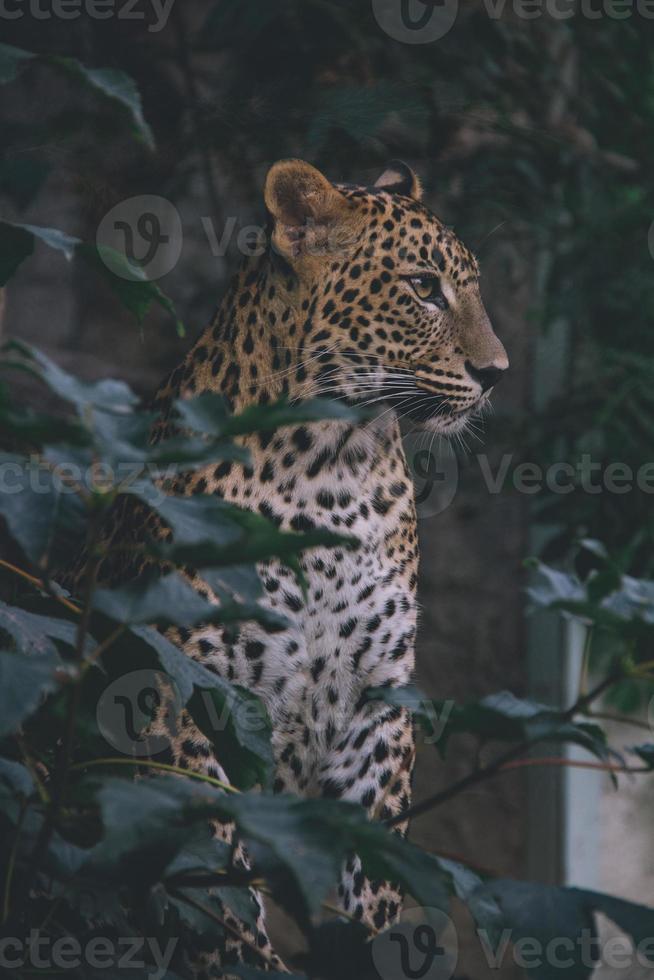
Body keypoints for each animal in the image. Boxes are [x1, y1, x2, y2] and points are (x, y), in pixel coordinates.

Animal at [80, 161, 512, 972]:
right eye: (423, 287)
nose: (497, 372)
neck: (331, 464)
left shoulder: (377, 705)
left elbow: (372, 871)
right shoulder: (183, 682)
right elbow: (214, 864)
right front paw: (245, 955)